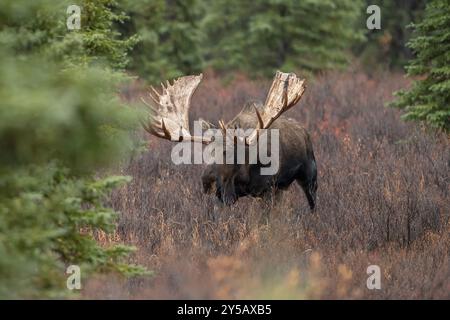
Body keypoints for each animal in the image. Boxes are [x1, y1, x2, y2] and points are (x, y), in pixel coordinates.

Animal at [141, 70, 316, 210]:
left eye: (228, 152)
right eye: (206, 152)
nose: (207, 181)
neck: (245, 170)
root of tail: (305, 131)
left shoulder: (267, 190)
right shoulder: (226, 194)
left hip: (310, 176)